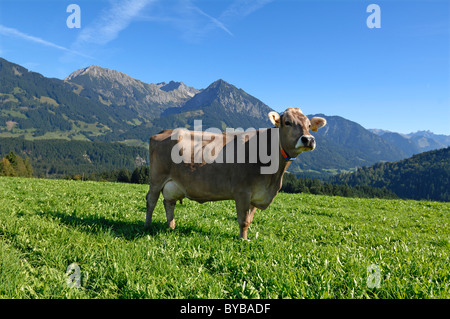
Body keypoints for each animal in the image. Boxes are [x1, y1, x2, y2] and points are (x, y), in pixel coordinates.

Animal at [146, 108, 326, 240]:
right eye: (287, 122)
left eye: (309, 125)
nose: (308, 139)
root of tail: (164, 131)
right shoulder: (242, 192)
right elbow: (244, 220)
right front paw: (243, 240)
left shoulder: (257, 194)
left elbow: (250, 219)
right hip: (156, 179)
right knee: (151, 200)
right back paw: (147, 226)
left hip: (173, 184)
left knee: (169, 202)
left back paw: (171, 227)